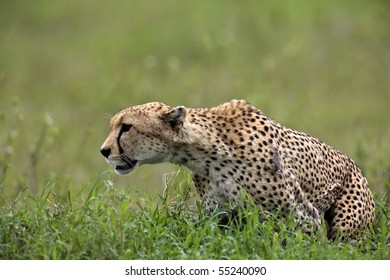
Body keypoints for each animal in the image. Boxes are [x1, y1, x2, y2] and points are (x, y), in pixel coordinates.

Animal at [100, 99, 374, 240]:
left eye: (126, 127)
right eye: (114, 126)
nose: (104, 151)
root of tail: (355, 164)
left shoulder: (304, 217)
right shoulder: (220, 216)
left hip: (347, 226)